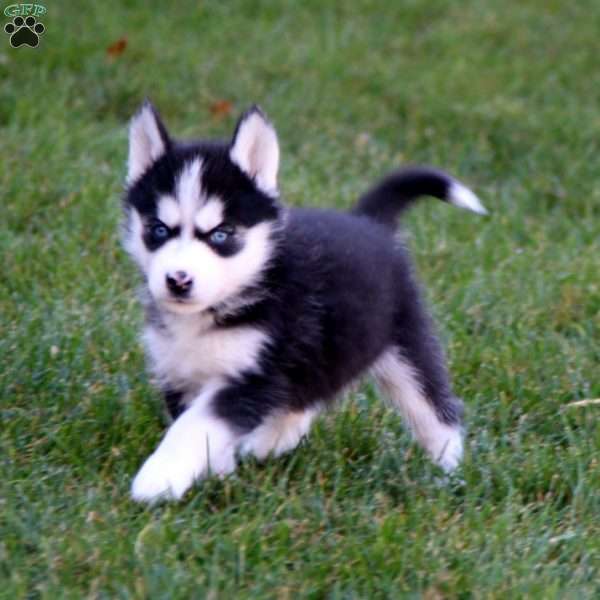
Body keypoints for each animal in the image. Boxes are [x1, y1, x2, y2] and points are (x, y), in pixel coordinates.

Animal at [123, 102, 488, 502]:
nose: (178, 280)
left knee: (435, 411)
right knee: (309, 393)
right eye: (159, 229)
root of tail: (369, 223)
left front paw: (160, 476)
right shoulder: (177, 370)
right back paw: (274, 440)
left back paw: (450, 474)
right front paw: (219, 475)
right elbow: (197, 424)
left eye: (221, 234)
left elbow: (195, 425)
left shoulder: (255, 373)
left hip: (404, 348)